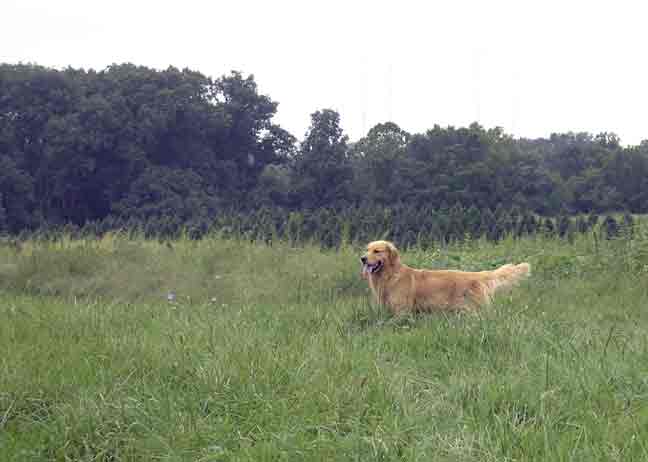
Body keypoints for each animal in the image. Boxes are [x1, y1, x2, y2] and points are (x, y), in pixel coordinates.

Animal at [362, 242, 528, 314]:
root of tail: (478, 274)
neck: (390, 275)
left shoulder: (402, 310)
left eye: (377, 251)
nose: (362, 258)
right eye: (367, 249)